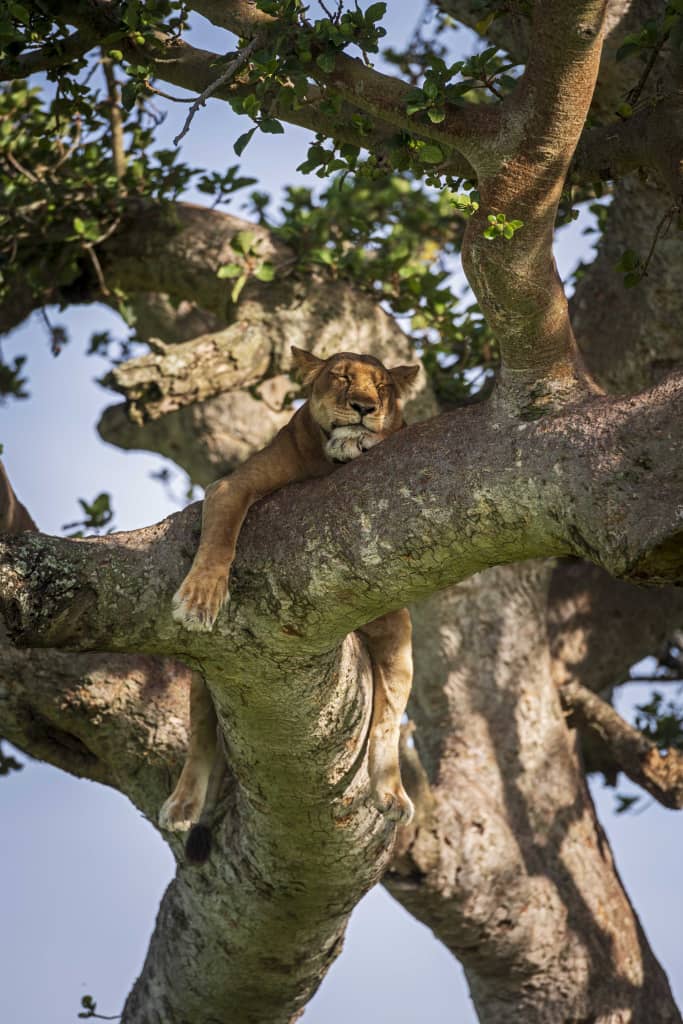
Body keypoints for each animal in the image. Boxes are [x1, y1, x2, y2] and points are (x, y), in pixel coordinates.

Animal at [161, 346, 420, 861]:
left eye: (382, 387)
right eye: (341, 377)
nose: (364, 407)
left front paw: (360, 439)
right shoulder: (233, 487)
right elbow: (220, 540)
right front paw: (200, 600)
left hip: (398, 636)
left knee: (386, 724)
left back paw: (392, 794)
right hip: (201, 683)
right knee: (201, 737)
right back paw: (182, 805)